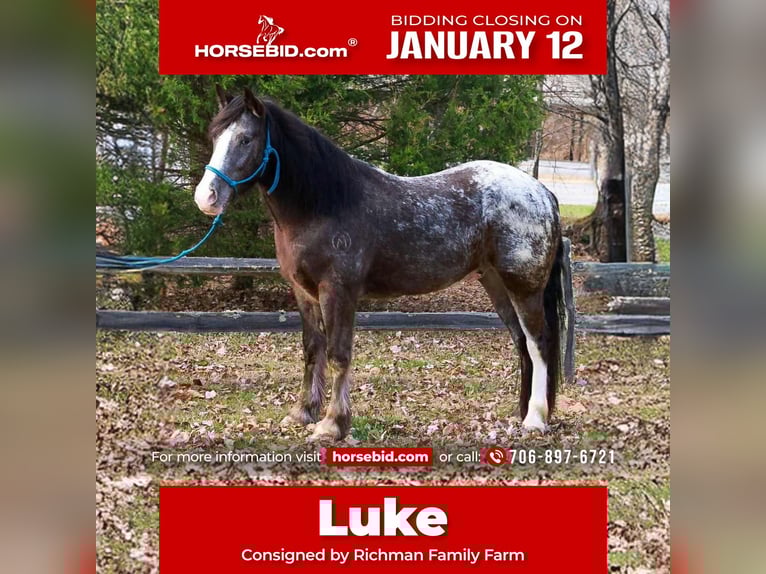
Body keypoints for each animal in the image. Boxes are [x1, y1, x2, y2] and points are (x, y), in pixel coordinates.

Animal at [195, 87, 566, 441]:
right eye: (215, 136)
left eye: (246, 139)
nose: (206, 197)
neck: (323, 203)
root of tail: (542, 192)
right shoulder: (303, 293)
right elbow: (312, 351)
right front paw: (302, 413)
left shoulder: (338, 292)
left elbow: (338, 355)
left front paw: (332, 424)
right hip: (496, 284)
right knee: (522, 343)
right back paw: (523, 414)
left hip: (524, 287)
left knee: (538, 342)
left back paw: (535, 419)